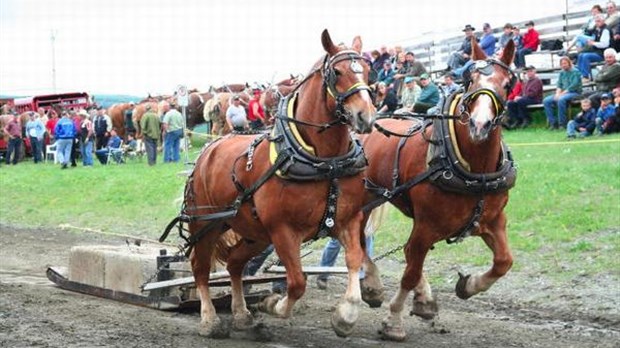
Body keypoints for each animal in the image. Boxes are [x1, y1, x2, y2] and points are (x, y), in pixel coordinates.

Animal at [177, 29, 376, 338]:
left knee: (235, 264)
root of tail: (209, 150)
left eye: (367, 70)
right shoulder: (283, 230)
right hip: (206, 223)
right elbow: (296, 282)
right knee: (200, 267)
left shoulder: (348, 220)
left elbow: (354, 260)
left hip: (255, 233)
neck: (324, 162)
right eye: (337, 72)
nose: (365, 115)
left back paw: (242, 314)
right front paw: (272, 304)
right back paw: (210, 319)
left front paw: (345, 316)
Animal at [360, 39, 516, 342]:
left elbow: (504, 261)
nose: (480, 125)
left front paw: (469, 285)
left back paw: (422, 299)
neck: (474, 172)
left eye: (506, 84)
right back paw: (373, 285)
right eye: (470, 80)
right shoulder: (427, 225)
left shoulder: (493, 220)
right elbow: (409, 272)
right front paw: (393, 320)